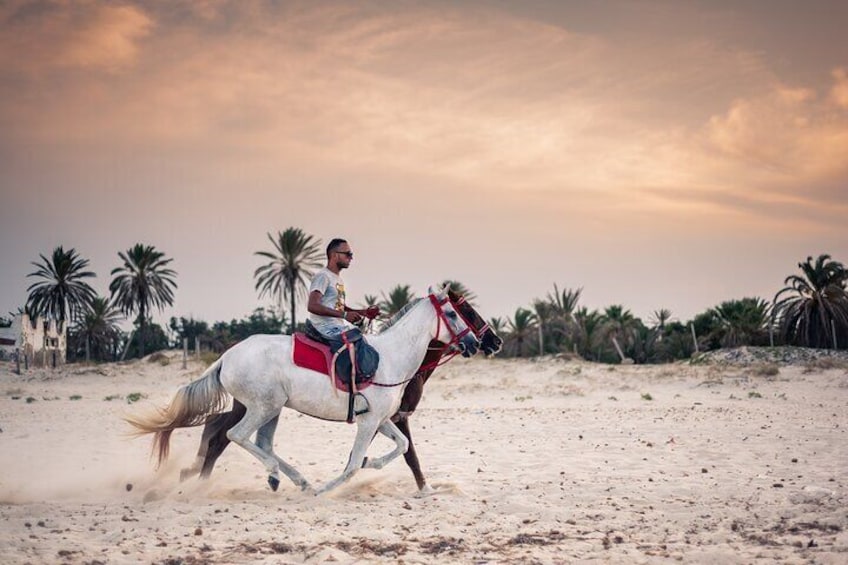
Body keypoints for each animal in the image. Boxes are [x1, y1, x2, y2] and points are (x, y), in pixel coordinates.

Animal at [128, 286, 480, 494]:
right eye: (453, 313)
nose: (476, 343)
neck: (392, 357)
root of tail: (226, 357)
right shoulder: (369, 422)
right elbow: (354, 464)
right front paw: (329, 489)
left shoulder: (381, 419)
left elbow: (401, 446)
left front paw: (372, 464)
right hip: (264, 407)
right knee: (236, 436)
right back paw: (279, 476)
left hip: (271, 409)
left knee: (259, 442)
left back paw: (295, 480)